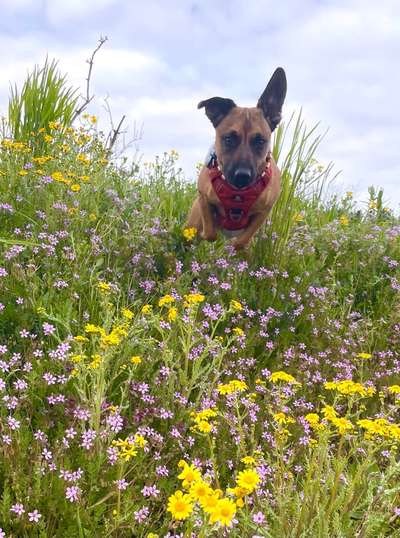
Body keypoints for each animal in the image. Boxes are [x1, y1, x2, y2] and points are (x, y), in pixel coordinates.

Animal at [188, 67, 288, 249]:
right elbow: (210, 231)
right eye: (228, 139)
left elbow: (241, 241)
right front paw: (208, 233)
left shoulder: (264, 211)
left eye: (260, 141)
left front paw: (234, 246)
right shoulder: (203, 197)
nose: (242, 176)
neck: (238, 194)